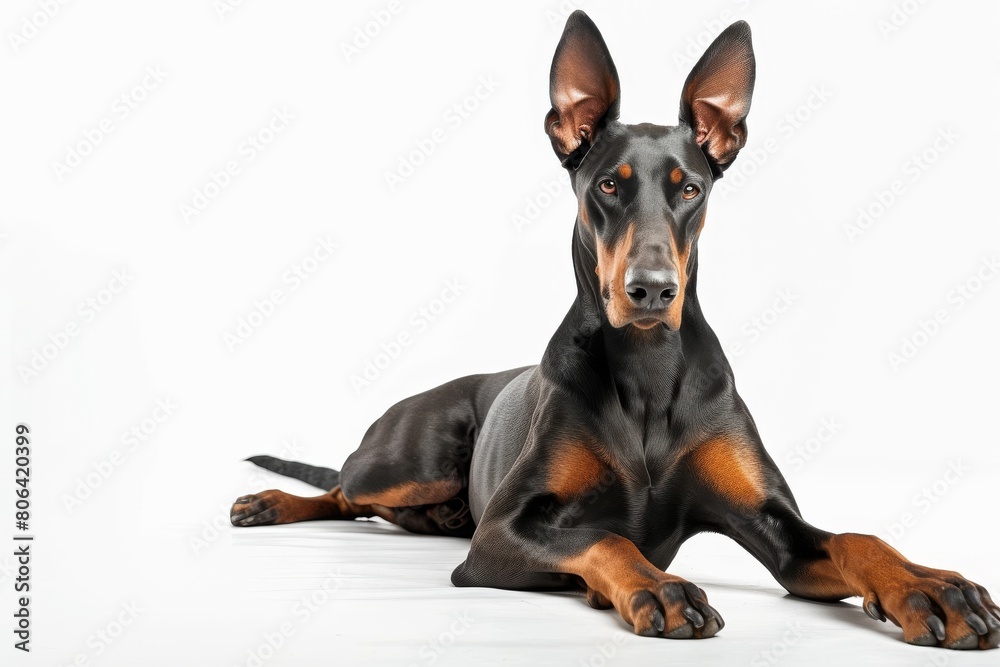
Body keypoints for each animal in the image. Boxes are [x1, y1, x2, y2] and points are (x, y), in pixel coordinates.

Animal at [229, 9, 1000, 648]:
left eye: (690, 188)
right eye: (607, 184)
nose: (651, 289)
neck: (649, 365)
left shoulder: (775, 526)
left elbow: (857, 538)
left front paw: (931, 586)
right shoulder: (503, 531)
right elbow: (602, 539)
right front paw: (657, 588)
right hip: (411, 461)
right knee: (345, 488)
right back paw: (269, 501)